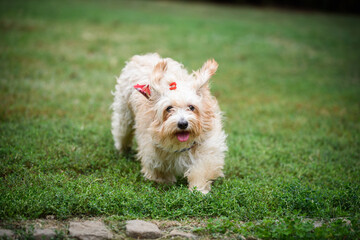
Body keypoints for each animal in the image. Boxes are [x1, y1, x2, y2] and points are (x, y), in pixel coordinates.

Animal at [111, 53, 226, 194]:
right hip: (124, 116)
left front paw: (198, 190)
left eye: (191, 107)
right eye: (169, 108)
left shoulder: (206, 147)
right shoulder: (152, 150)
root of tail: (143, 56)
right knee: (121, 132)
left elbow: (202, 169)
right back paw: (122, 150)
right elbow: (159, 170)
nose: (182, 124)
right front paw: (164, 182)